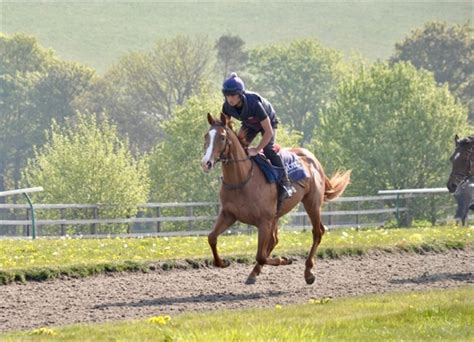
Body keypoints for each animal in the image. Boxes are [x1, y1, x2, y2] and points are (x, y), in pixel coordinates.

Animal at [200, 113, 352, 284]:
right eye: (206, 136)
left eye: (222, 137)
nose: (206, 163)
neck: (242, 179)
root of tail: (313, 159)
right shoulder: (229, 215)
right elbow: (212, 238)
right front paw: (223, 262)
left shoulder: (264, 222)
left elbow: (260, 256)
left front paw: (283, 260)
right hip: (278, 214)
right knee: (274, 240)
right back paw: (254, 273)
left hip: (312, 203)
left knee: (317, 232)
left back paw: (308, 272)